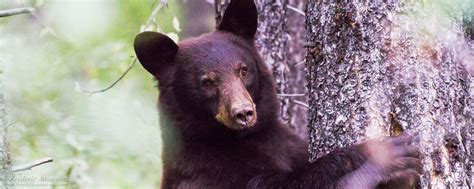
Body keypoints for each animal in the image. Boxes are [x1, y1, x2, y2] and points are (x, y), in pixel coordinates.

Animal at [134, 0, 422, 188]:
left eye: (243, 70)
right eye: (207, 82)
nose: (243, 113)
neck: (242, 139)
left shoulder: (286, 143)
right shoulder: (208, 173)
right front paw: (386, 161)